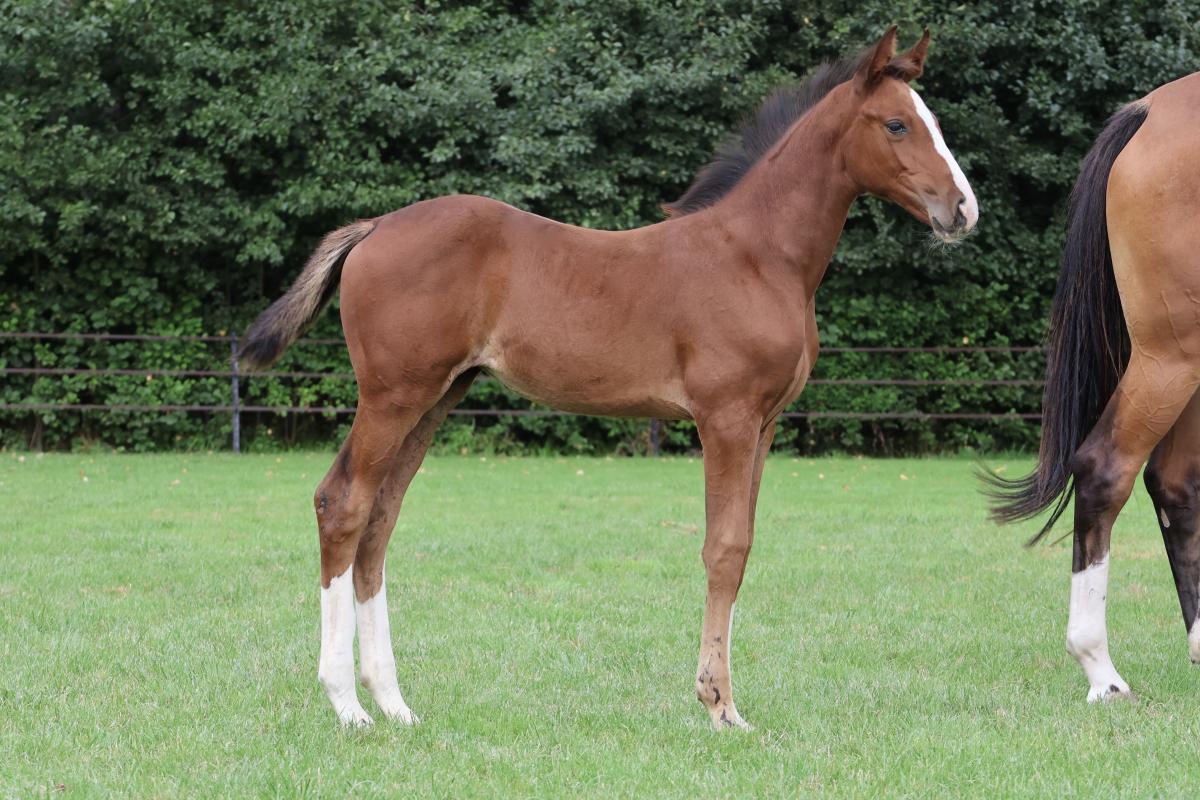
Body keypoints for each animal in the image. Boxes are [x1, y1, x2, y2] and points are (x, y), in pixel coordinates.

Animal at [239, 27, 978, 729]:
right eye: (897, 124)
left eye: (932, 119)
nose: (963, 210)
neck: (758, 256)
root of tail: (373, 228)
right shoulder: (726, 418)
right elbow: (724, 548)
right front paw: (720, 706)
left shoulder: (764, 423)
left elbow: (743, 548)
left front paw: (725, 700)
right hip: (394, 396)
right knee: (343, 504)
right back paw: (348, 705)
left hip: (438, 396)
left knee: (381, 519)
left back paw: (393, 702)